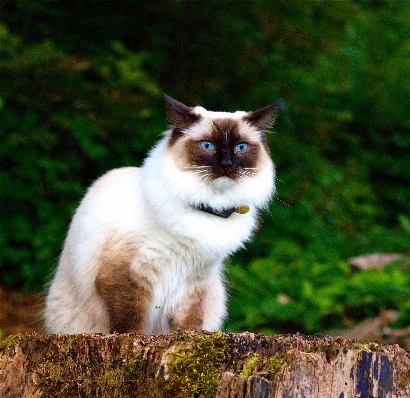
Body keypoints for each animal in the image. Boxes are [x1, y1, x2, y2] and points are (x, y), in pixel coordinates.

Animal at [44, 95, 278, 334]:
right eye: (207, 146)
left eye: (241, 147)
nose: (226, 164)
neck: (208, 207)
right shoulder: (129, 272)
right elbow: (130, 318)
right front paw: (134, 336)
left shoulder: (196, 278)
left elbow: (191, 316)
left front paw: (191, 335)